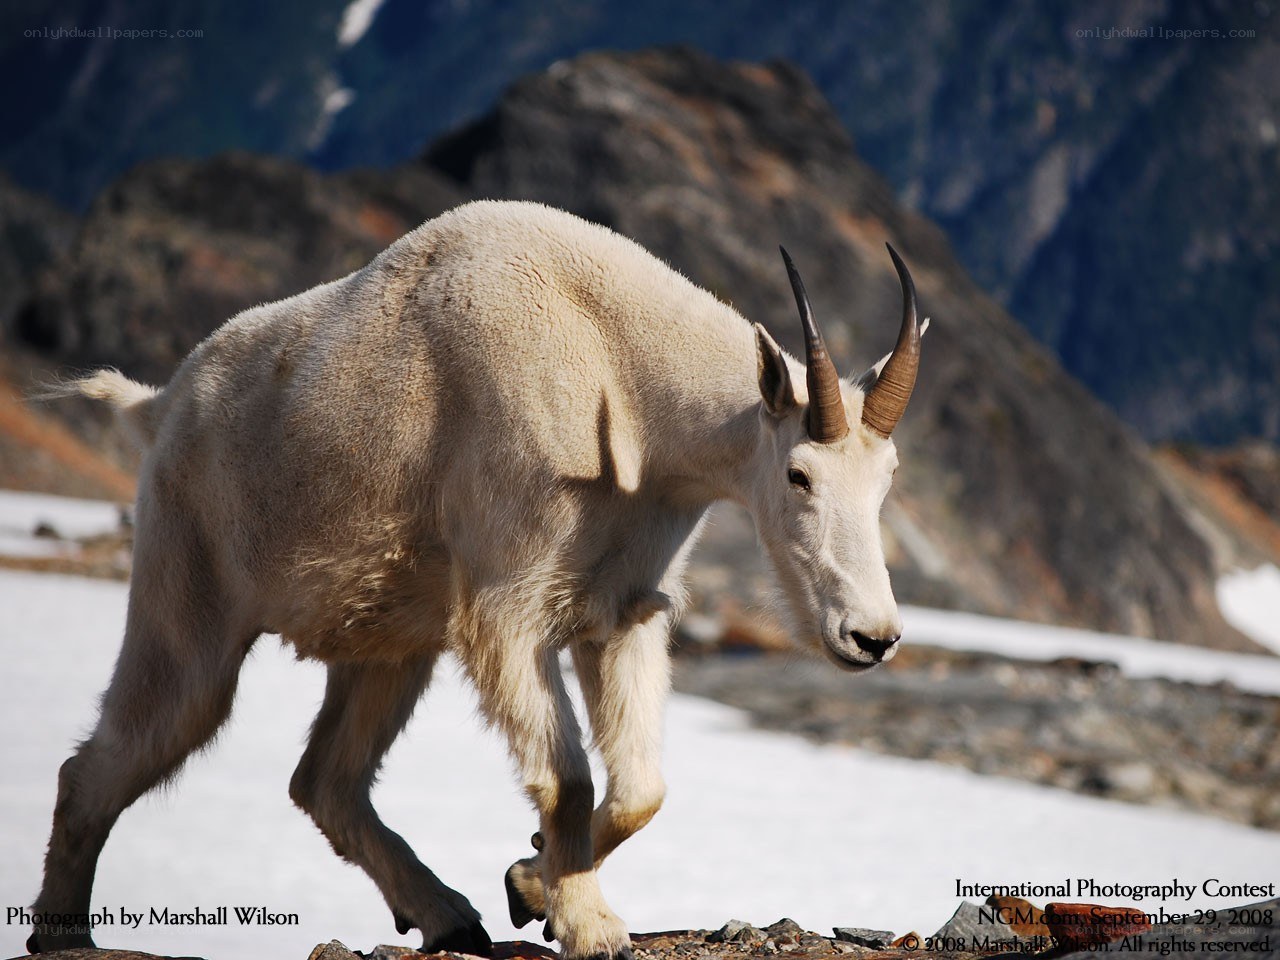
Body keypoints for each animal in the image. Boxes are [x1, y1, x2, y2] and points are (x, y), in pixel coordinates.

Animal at [28, 200, 926, 959]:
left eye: (888, 479)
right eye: (799, 475)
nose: (871, 637)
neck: (617, 369)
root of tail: (158, 407)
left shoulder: (624, 610)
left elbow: (642, 788)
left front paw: (528, 883)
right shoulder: (509, 609)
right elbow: (567, 778)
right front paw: (589, 925)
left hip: (387, 641)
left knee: (324, 781)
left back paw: (447, 913)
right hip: (189, 597)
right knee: (115, 755)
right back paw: (63, 933)